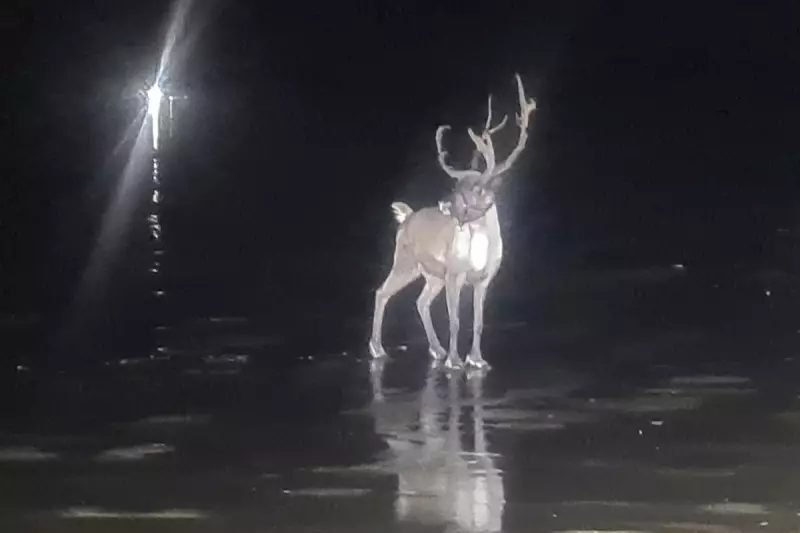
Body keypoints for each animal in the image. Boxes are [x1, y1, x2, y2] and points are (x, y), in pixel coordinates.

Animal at [369, 74, 537, 370]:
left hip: (431, 275)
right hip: (406, 262)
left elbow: (479, 322)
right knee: (382, 292)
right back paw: (378, 348)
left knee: (420, 301)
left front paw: (477, 359)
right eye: (455, 186)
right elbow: (456, 320)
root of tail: (406, 217)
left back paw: (436, 349)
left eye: (474, 190)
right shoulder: (454, 275)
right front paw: (455, 360)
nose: (444, 204)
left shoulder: (483, 279)